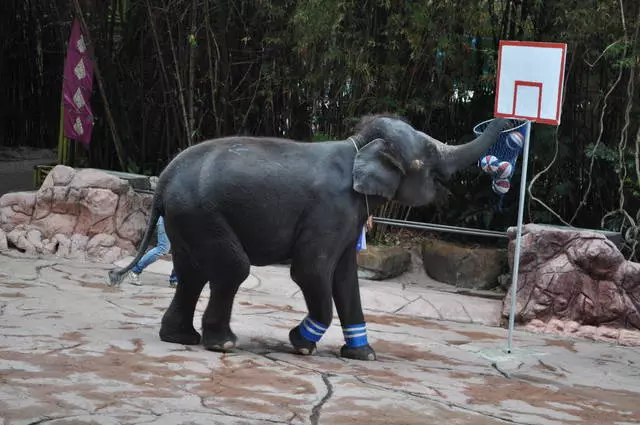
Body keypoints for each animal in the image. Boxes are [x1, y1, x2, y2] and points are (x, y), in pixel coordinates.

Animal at [110, 114, 510, 360]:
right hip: (201, 213)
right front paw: (301, 345)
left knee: (193, 274)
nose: (506, 121)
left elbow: (346, 278)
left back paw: (182, 338)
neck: (357, 145)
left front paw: (363, 356)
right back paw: (222, 344)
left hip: (186, 218)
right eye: (426, 155)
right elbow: (311, 271)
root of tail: (162, 181)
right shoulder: (330, 209)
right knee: (232, 269)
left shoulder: (349, 216)